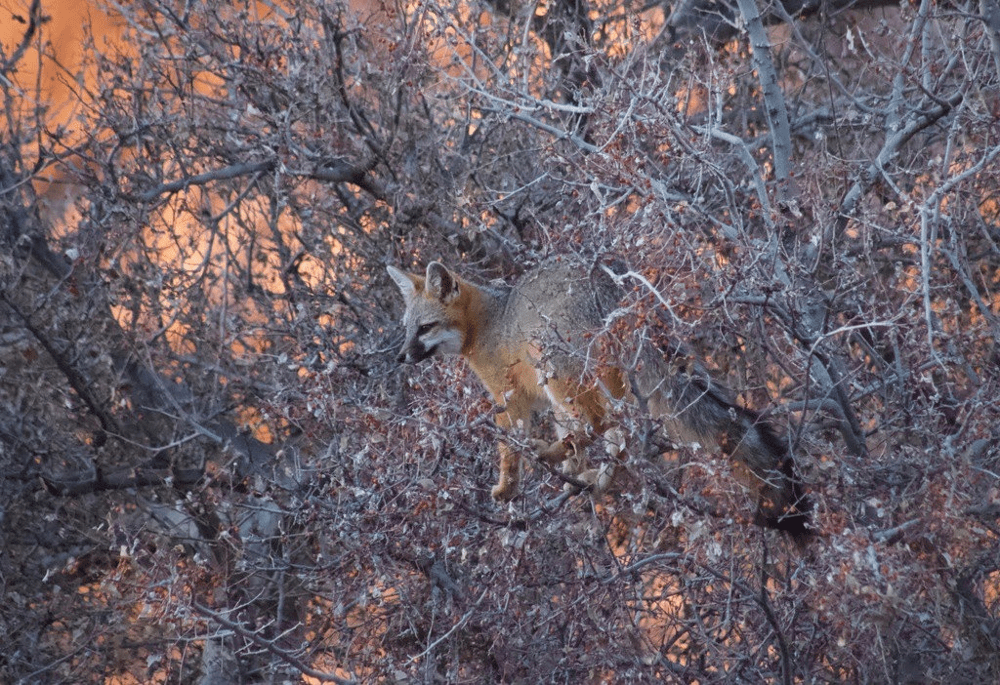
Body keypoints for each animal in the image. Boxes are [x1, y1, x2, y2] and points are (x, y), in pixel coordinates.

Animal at [384, 258, 812, 540]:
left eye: (425, 328)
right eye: (406, 329)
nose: (400, 356)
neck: (490, 321)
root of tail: (615, 294)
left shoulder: (511, 399)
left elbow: (510, 446)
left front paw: (508, 486)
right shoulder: (549, 404)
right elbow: (571, 437)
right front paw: (574, 469)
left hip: (555, 367)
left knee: (599, 424)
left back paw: (552, 455)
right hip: (598, 387)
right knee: (616, 433)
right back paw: (597, 479)